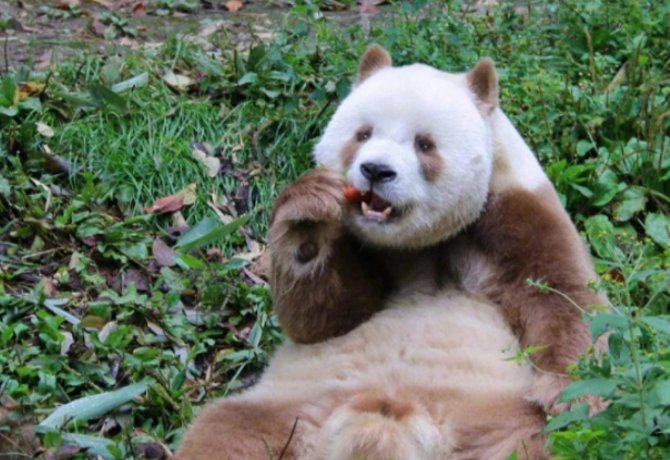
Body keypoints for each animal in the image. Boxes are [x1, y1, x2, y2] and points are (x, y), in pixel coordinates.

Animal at [175, 45, 605, 460]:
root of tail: (386, 431)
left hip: (494, 421)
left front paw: (575, 395)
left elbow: (563, 295)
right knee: (226, 432)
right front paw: (308, 218)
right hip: (295, 407)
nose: (376, 170)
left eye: (424, 144)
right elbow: (325, 318)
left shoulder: (514, 207)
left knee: (544, 442)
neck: (415, 242)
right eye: (363, 134)